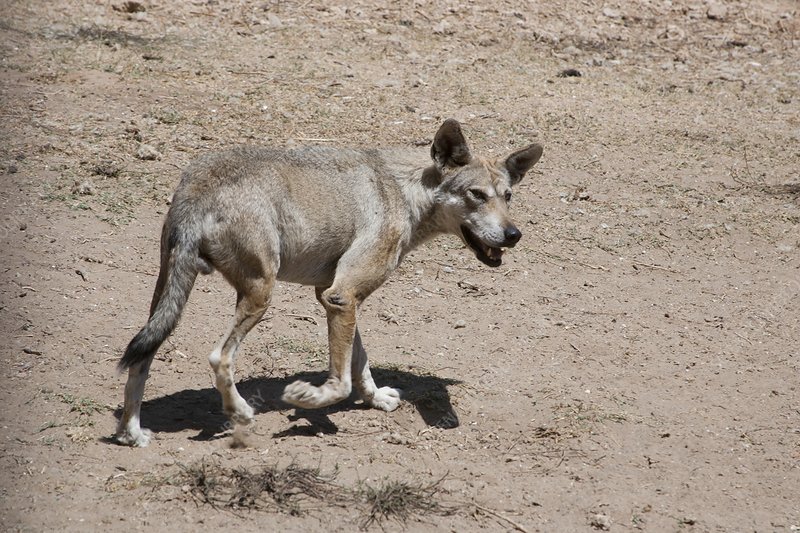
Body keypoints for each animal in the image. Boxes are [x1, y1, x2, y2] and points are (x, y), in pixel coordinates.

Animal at [115, 119, 544, 444]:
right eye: (476, 195)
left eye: (507, 196)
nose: (514, 235)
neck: (406, 190)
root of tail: (197, 187)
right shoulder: (343, 296)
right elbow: (340, 384)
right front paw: (304, 399)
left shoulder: (336, 296)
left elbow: (360, 363)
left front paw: (378, 399)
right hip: (259, 296)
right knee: (219, 357)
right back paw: (239, 411)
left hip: (168, 300)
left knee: (140, 360)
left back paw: (131, 433)